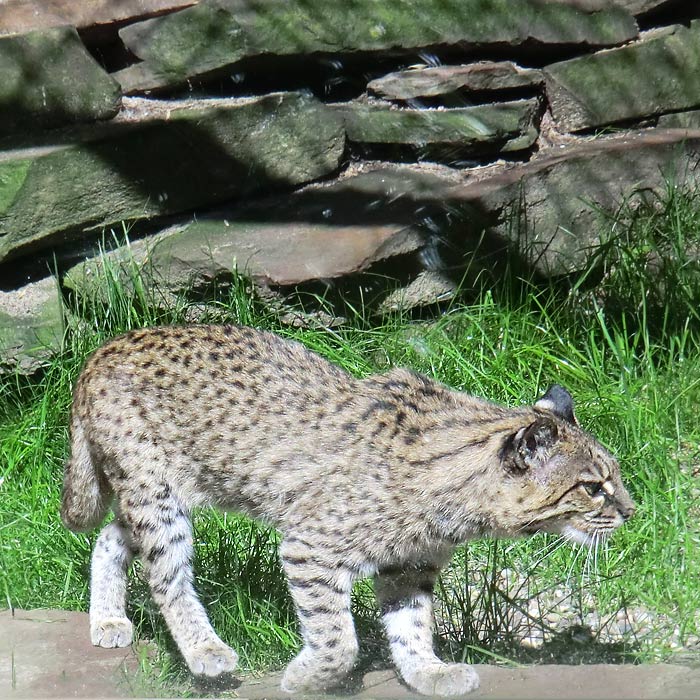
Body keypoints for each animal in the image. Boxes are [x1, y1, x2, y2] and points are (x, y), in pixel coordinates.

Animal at [63, 324, 636, 696]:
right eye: (592, 487)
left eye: (613, 478)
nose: (632, 512)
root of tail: (102, 348)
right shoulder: (309, 546)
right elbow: (340, 640)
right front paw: (305, 679)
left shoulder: (410, 564)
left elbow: (411, 624)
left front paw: (428, 672)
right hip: (156, 492)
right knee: (166, 576)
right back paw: (206, 651)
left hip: (154, 491)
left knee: (110, 536)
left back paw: (108, 619)